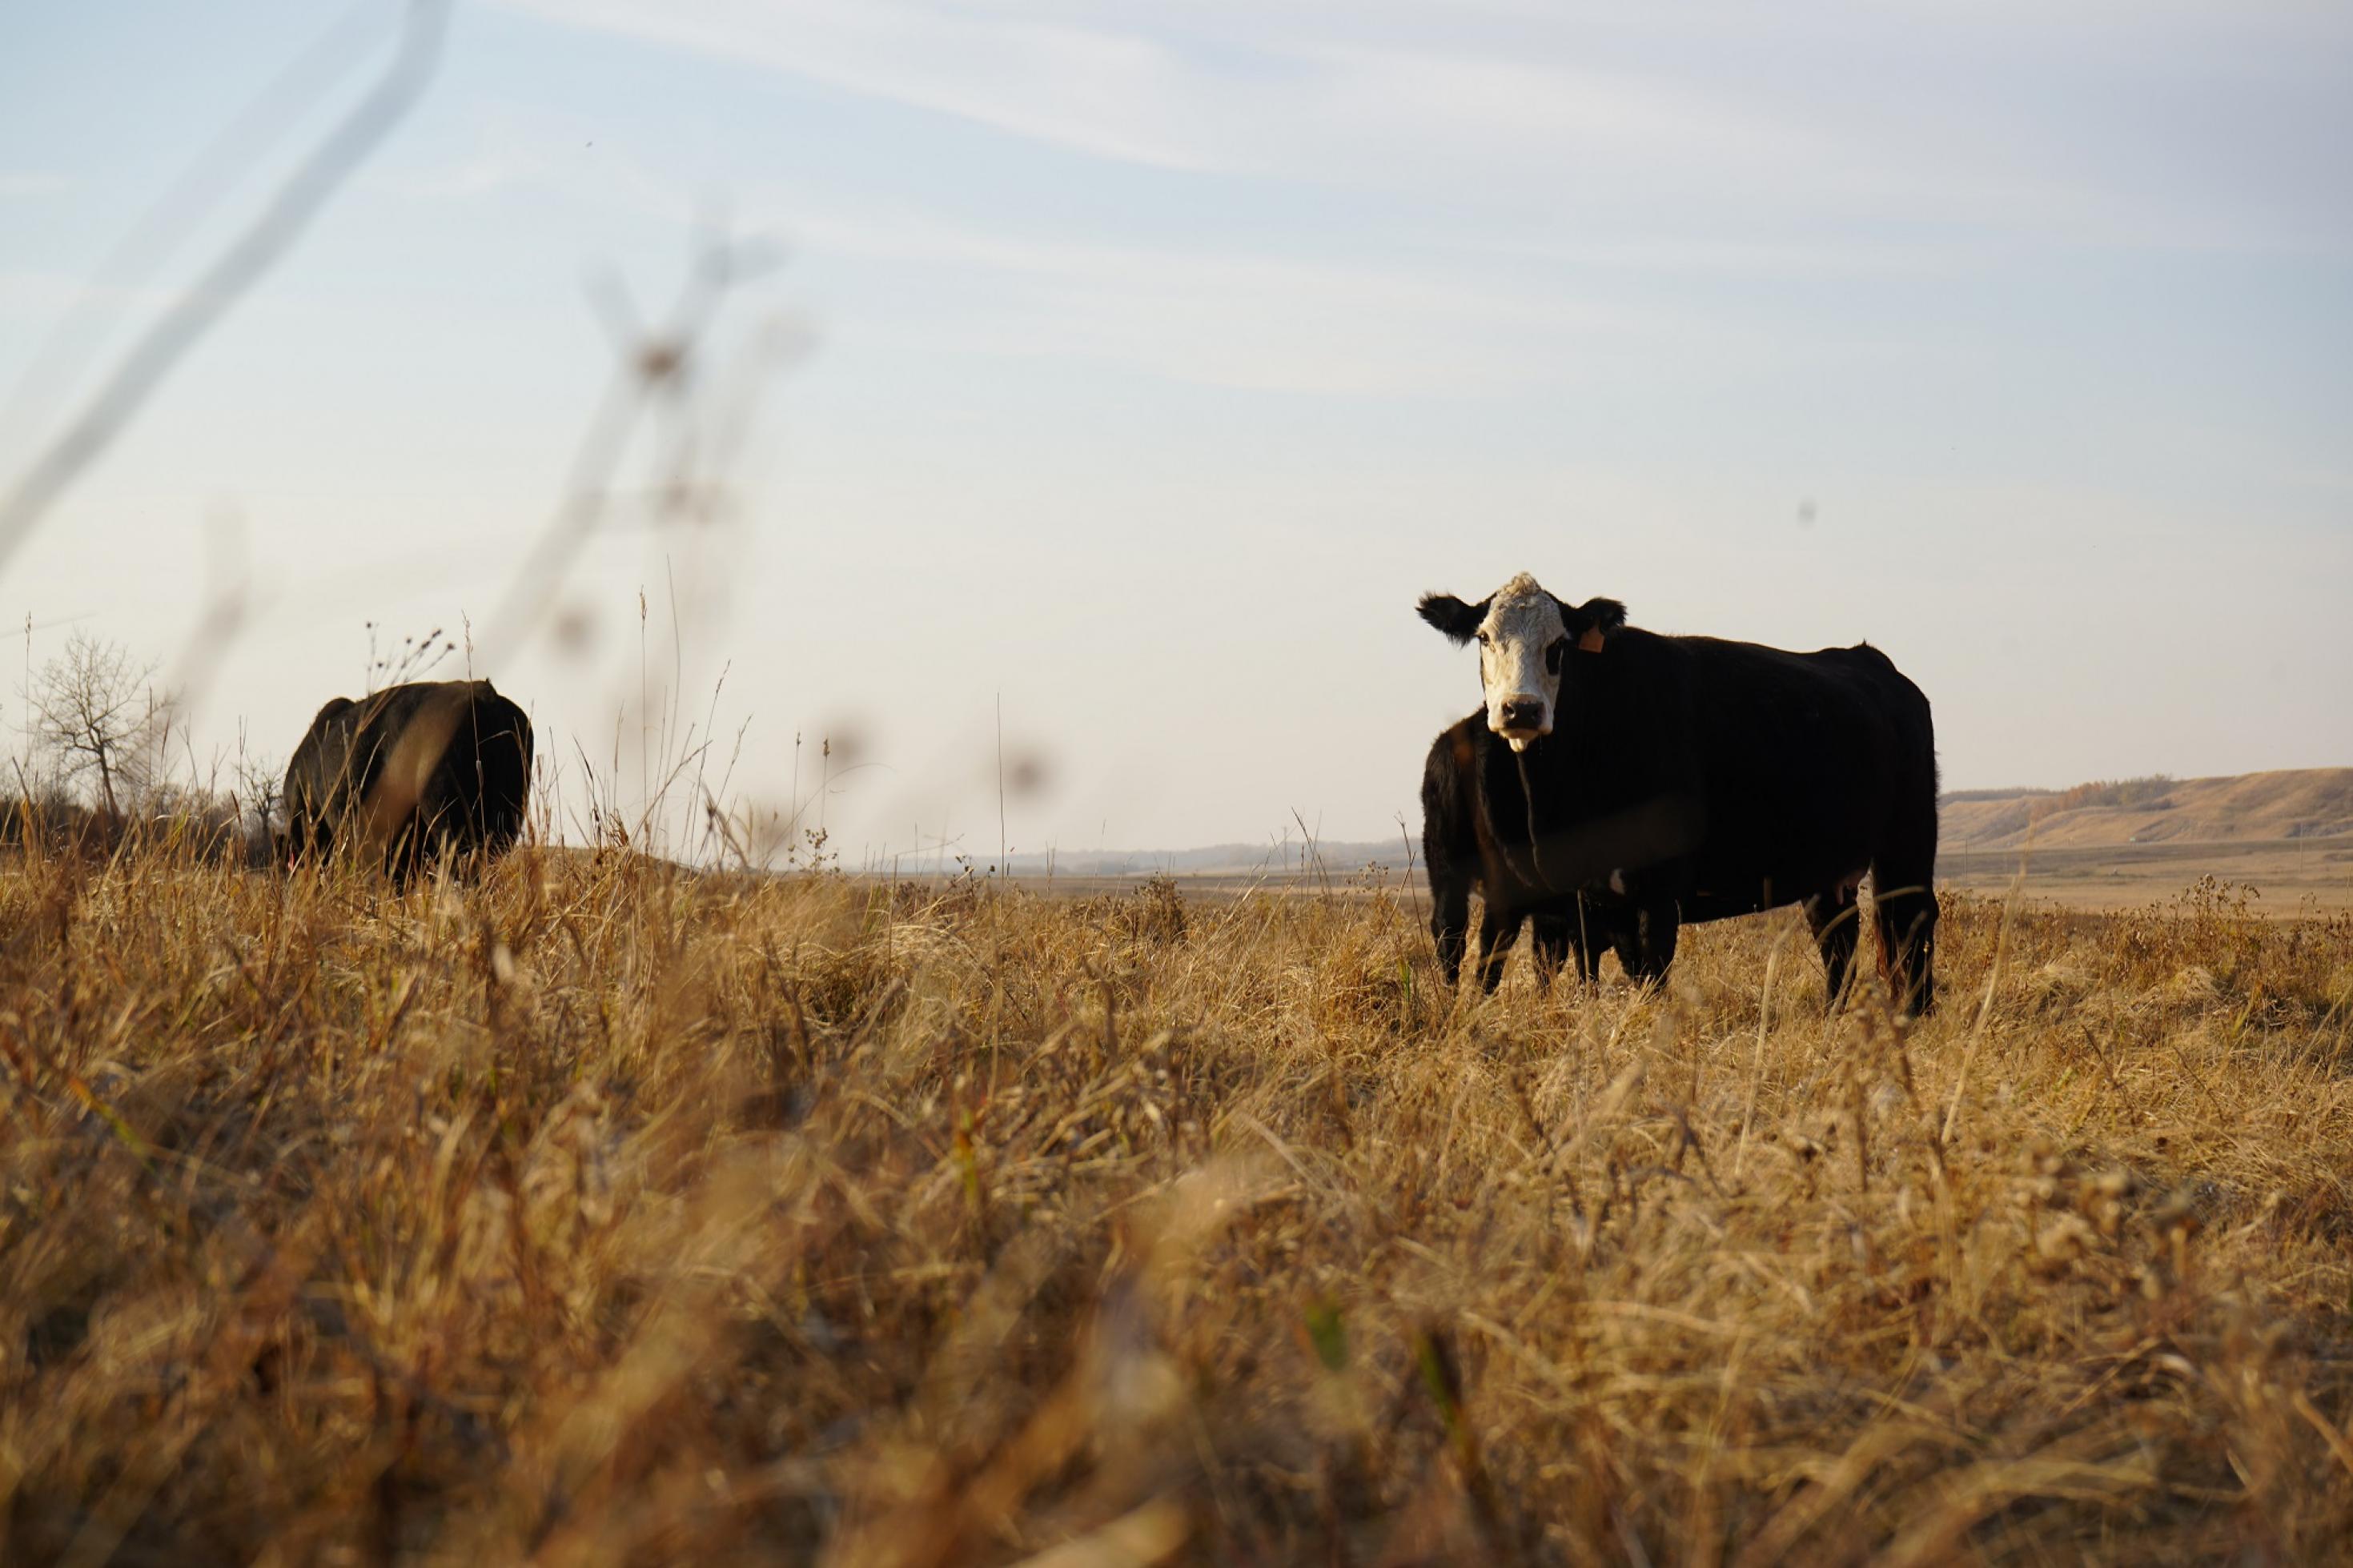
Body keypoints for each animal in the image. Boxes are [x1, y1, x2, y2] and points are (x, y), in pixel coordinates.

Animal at [1421, 575, 1938, 1020]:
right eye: (1484, 638)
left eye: (1559, 645)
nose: (1521, 709)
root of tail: (1875, 665)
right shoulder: (1585, 896)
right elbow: (1589, 971)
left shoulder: (1658, 887)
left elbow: (1652, 968)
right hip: (1825, 868)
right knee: (1838, 935)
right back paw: (1834, 1017)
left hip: (1906, 843)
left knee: (1911, 921)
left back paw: (1917, 1014)